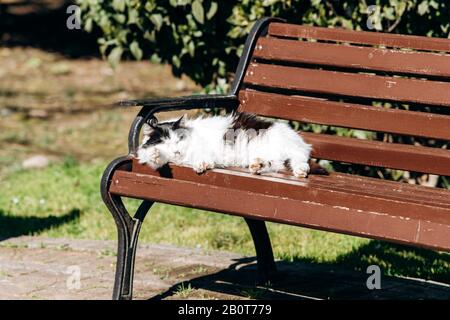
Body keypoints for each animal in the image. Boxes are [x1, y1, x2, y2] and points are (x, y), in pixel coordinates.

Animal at [135, 112, 326, 178]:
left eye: (179, 140)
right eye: (165, 142)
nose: (176, 150)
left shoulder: (202, 149)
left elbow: (202, 157)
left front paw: (202, 165)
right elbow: (153, 157)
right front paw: (156, 154)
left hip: (289, 147)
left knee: (300, 160)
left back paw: (301, 171)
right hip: (272, 158)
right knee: (274, 164)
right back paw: (257, 166)